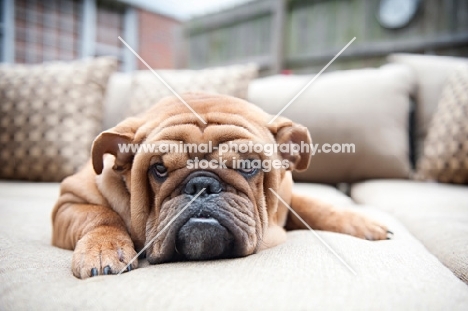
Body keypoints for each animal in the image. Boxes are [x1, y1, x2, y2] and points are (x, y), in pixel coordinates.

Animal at [51, 92, 390, 280]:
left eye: (249, 166)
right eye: (159, 169)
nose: (202, 184)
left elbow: (315, 206)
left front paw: (360, 222)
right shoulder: (68, 202)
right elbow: (99, 216)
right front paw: (104, 249)